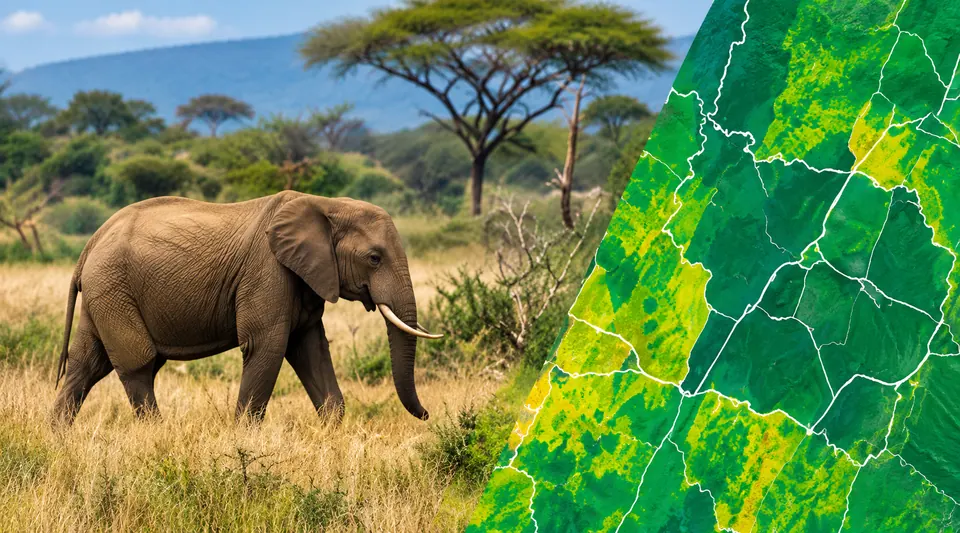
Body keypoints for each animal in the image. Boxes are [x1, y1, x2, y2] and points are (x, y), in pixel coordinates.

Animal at [51, 190, 442, 426]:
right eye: (374, 258)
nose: (428, 415)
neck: (325, 204)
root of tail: (91, 243)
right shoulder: (267, 271)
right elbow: (267, 345)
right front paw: (243, 437)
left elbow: (310, 348)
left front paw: (332, 428)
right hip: (112, 287)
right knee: (139, 364)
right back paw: (155, 432)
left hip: (104, 292)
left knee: (88, 363)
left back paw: (58, 435)